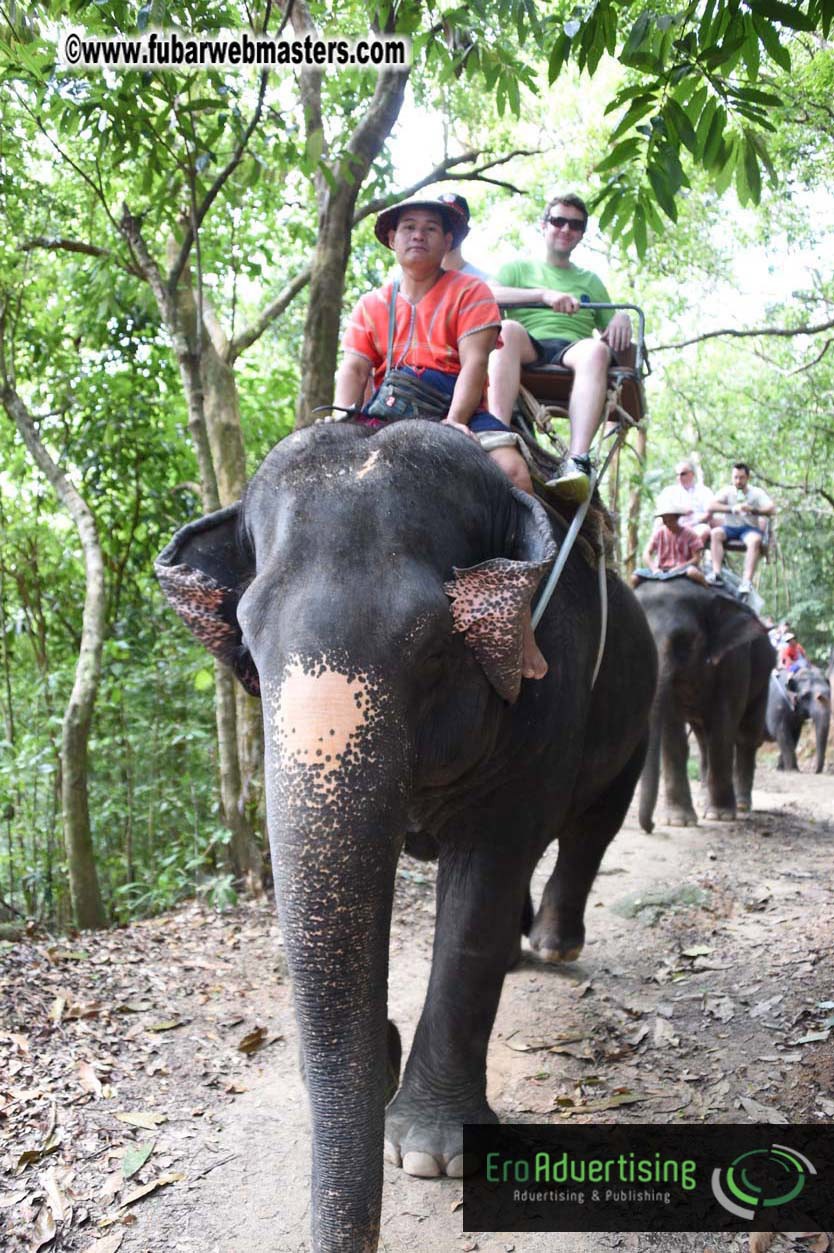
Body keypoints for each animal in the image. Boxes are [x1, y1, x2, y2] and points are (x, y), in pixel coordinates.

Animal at [156, 419, 657, 1253]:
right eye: (249, 643)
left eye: (434, 644)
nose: (384, 1051)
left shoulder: (548, 681)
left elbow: (482, 883)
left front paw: (430, 1152)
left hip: (637, 709)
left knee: (593, 826)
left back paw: (553, 947)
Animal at [634, 578, 775, 831]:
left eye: (685, 642)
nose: (650, 826)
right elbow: (672, 729)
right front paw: (678, 821)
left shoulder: (734, 659)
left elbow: (723, 727)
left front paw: (720, 816)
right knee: (702, 739)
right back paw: (703, 800)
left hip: (764, 677)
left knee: (746, 736)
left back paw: (741, 804)